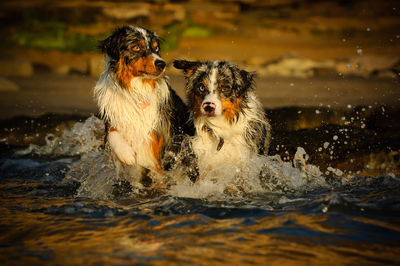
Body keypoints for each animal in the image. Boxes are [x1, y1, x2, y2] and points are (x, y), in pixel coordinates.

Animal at [95, 26, 192, 186]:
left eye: (156, 48)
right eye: (136, 47)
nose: (161, 64)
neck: (137, 92)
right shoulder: (113, 119)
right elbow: (111, 133)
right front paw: (126, 154)